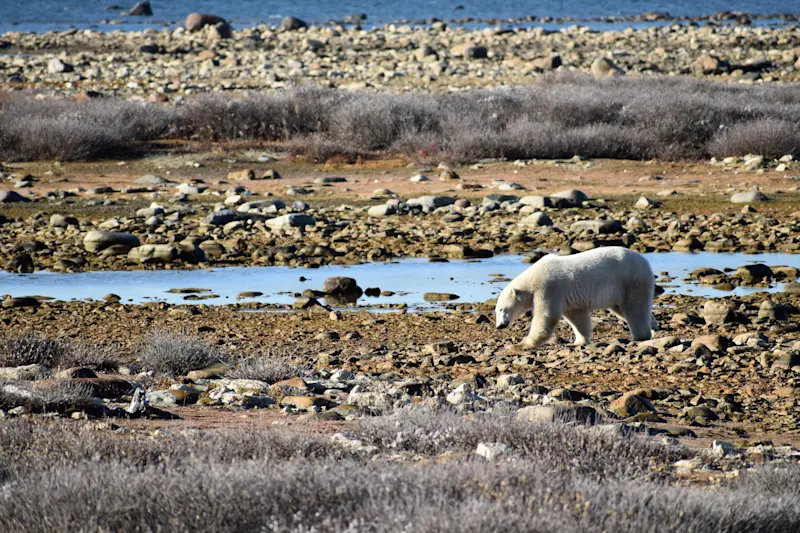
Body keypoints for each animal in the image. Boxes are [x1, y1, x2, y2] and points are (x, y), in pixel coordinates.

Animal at [495, 247, 658, 348]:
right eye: (497, 311)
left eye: (502, 309)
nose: (499, 326)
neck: (532, 277)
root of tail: (645, 262)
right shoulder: (567, 298)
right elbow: (577, 316)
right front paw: (579, 341)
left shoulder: (548, 287)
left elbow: (547, 316)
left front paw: (520, 344)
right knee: (625, 309)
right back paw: (654, 325)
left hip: (630, 280)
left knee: (634, 308)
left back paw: (640, 336)